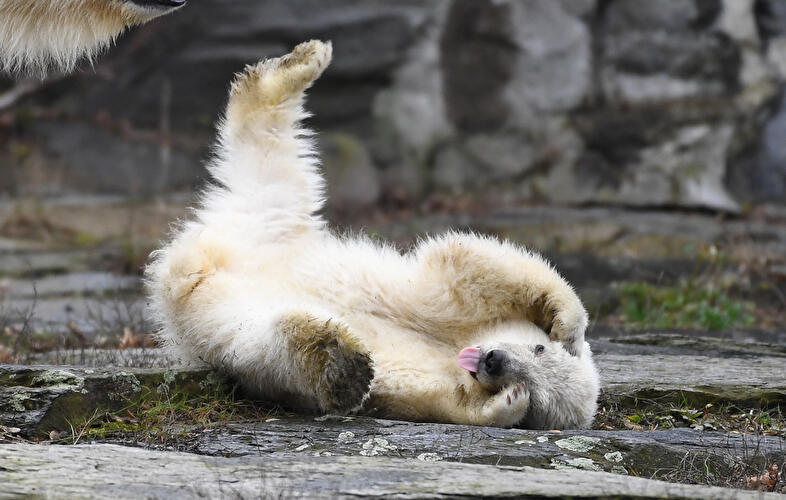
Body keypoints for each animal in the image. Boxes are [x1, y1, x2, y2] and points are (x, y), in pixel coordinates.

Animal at [145, 40, 601, 429]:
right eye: (539, 348)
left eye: (537, 392)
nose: (494, 362)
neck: (453, 346)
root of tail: (189, 265)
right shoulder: (451, 305)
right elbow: (470, 265)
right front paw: (567, 322)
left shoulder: (426, 377)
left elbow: (423, 398)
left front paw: (505, 404)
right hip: (267, 219)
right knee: (272, 154)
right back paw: (300, 64)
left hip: (223, 320)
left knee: (267, 347)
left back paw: (334, 359)